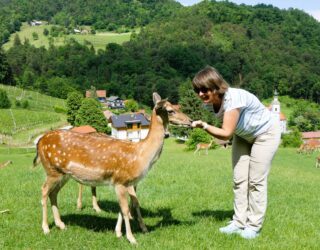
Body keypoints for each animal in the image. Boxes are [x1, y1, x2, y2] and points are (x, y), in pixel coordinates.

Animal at [33, 92, 191, 244]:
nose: (190, 121)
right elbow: (126, 209)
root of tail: (39, 142)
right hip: (52, 169)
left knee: (53, 193)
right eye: (170, 110)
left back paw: (61, 224)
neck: (140, 155)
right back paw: (46, 228)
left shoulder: (123, 183)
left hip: (63, 174)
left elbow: (122, 208)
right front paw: (131, 238)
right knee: (44, 191)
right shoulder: (121, 180)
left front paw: (118, 233)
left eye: (177, 106)